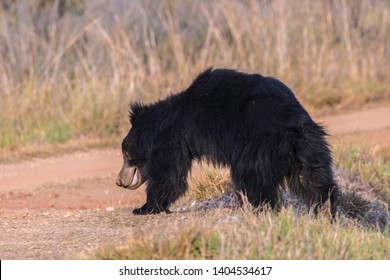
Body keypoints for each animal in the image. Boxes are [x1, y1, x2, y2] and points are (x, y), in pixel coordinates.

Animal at [115, 68, 338, 217]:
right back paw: (326, 209)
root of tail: (292, 127)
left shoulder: (173, 141)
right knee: (314, 180)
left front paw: (144, 208)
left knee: (252, 179)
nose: (119, 181)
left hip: (258, 148)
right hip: (310, 149)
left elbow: (168, 175)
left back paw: (259, 207)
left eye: (126, 155)